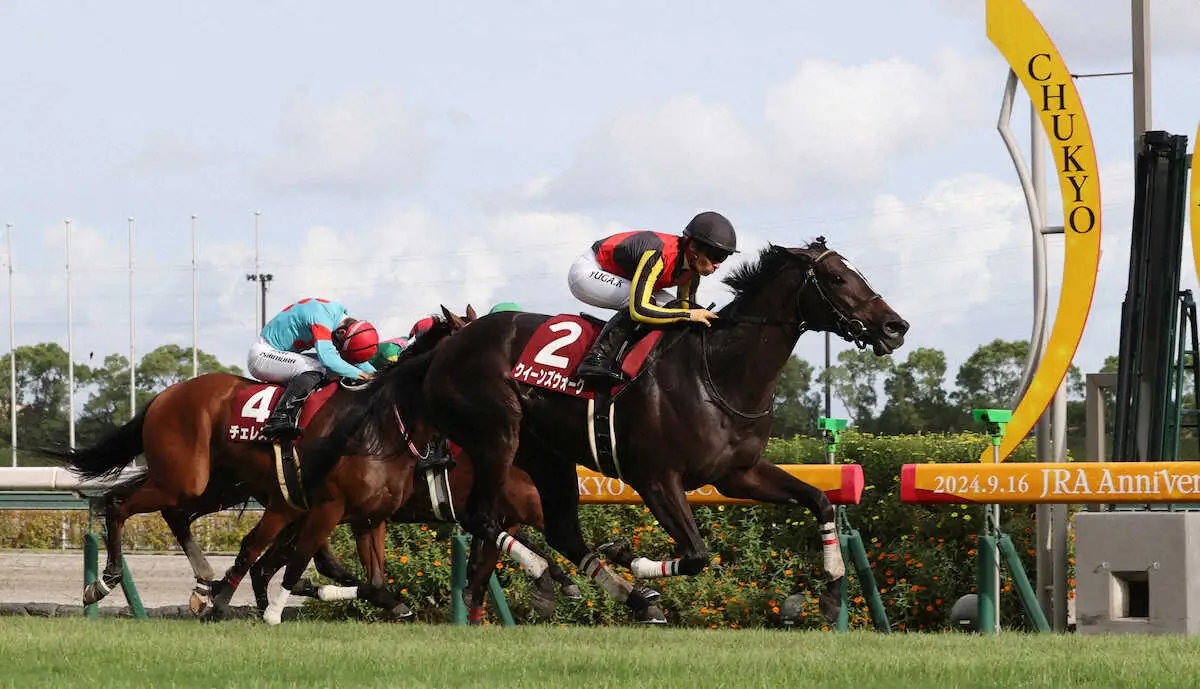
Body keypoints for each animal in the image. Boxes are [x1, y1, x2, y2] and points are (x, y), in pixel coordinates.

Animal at [348, 241, 907, 624]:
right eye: (836, 277)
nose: (894, 326)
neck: (718, 371)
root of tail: (446, 349)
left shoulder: (738, 474)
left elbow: (822, 501)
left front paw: (830, 592)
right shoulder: (656, 477)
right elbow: (697, 554)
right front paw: (631, 559)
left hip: (545, 455)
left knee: (556, 529)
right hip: (497, 437)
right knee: (484, 518)